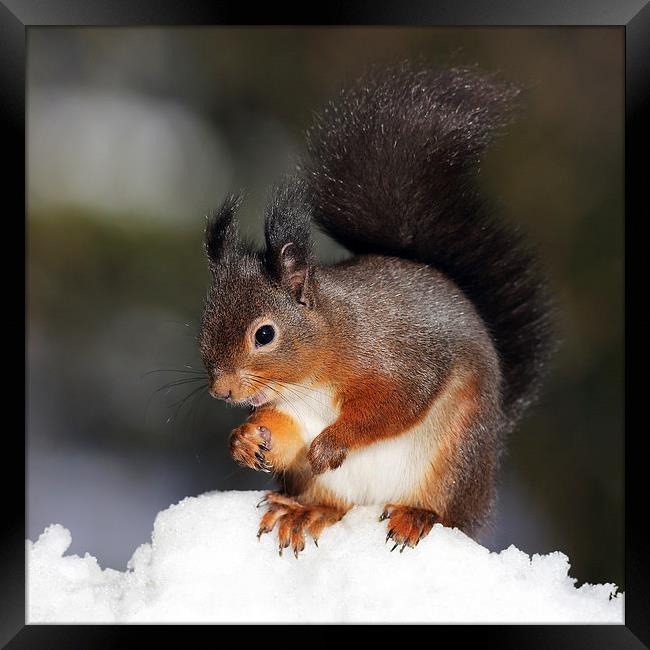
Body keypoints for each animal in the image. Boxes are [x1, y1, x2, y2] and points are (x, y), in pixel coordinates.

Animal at [199, 63, 552, 556]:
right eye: (204, 325)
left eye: (264, 334)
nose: (222, 391)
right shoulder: (293, 412)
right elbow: (284, 433)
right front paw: (247, 439)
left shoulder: (400, 361)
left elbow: (393, 406)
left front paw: (332, 443)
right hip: (327, 485)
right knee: (334, 506)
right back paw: (304, 511)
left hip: (455, 456)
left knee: (445, 511)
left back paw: (416, 516)